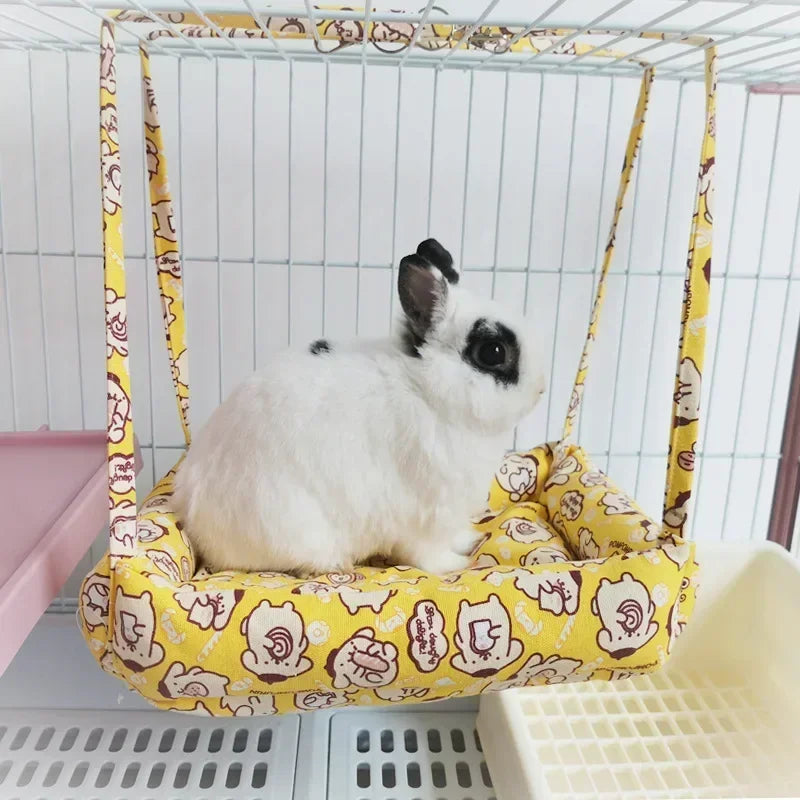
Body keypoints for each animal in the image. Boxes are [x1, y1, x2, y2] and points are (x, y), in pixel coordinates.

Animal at [173, 239, 546, 576]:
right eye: (493, 352)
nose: (541, 388)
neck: (426, 390)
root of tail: (193, 518)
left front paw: (468, 540)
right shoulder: (425, 515)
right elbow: (427, 554)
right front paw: (456, 565)